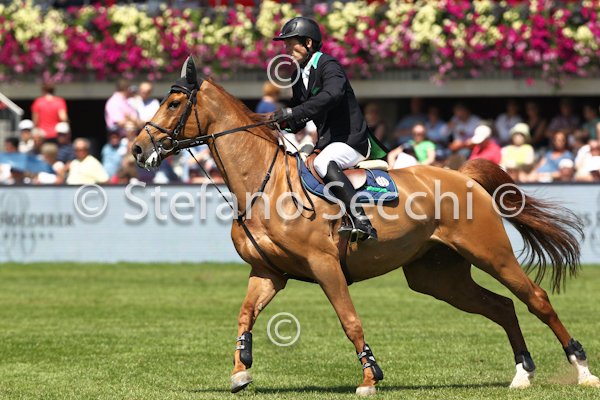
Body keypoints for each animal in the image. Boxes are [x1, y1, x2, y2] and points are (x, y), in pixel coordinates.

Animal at [131, 56, 599, 395]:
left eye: (173, 104)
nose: (136, 148)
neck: (263, 184)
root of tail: (462, 174)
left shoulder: (324, 266)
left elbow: (349, 320)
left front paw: (370, 377)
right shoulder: (267, 272)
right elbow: (245, 315)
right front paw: (240, 370)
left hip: (491, 253)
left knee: (535, 298)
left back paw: (580, 369)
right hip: (438, 276)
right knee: (501, 306)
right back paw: (523, 373)